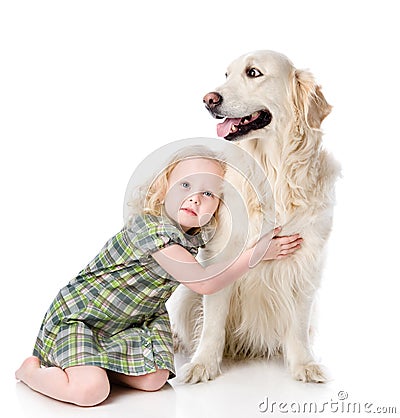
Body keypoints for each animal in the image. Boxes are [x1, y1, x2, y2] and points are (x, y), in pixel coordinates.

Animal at [167, 49, 340, 382]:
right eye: (226, 74)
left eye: (253, 73)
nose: (208, 99)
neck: (272, 171)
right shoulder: (221, 256)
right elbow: (213, 322)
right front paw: (202, 365)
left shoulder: (307, 261)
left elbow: (298, 325)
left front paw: (304, 365)